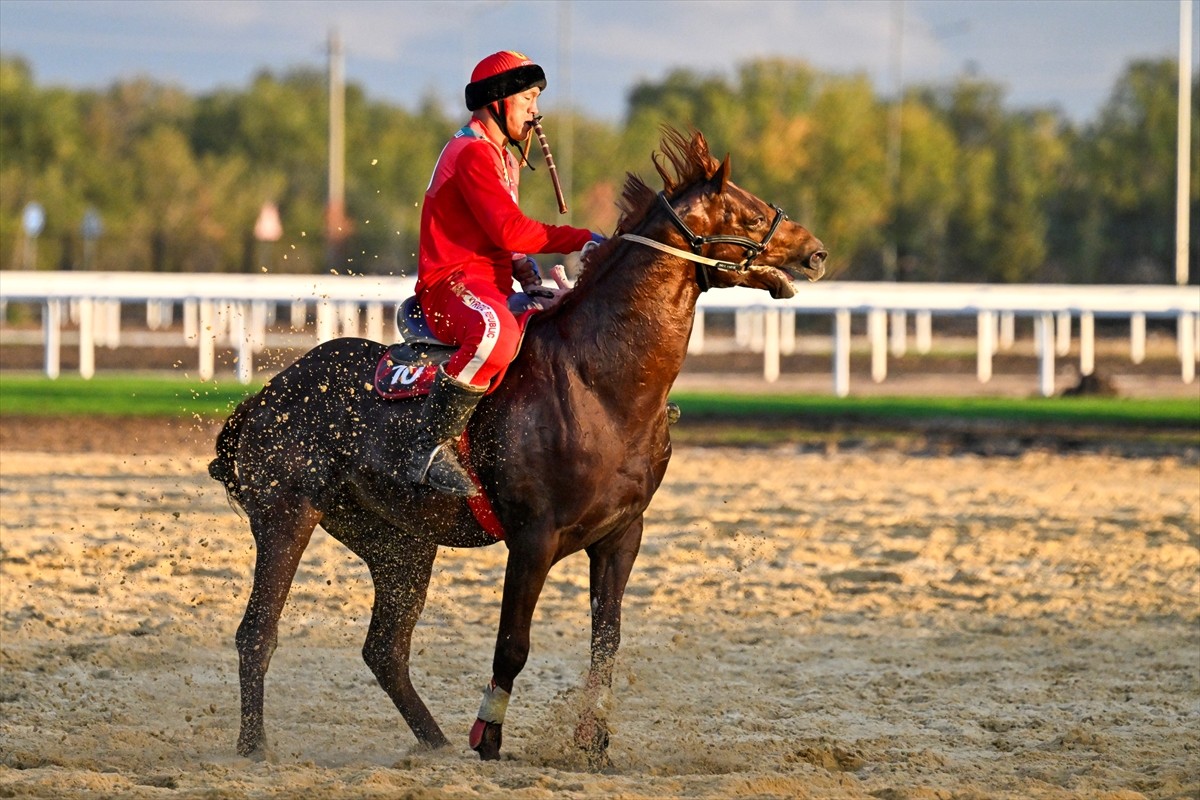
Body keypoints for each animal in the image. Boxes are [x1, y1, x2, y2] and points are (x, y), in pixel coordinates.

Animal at [208, 128, 825, 767]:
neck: (599, 381)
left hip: (399, 544)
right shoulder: (533, 539)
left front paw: (592, 743)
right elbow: (513, 644)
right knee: (258, 632)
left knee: (384, 650)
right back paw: (254, 747)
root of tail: (264, 397)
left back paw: (435, 743)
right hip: (287, 514)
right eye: (751, 214)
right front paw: (489, 736)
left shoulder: (621, 536)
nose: (817, 252)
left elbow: (607, 641)